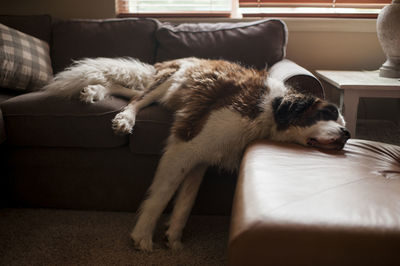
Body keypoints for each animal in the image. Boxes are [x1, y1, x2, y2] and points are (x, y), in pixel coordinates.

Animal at [43, 57, 350, 250]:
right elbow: (162, 195)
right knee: (137, 99)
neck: (269, 110)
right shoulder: (186, 145)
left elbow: (186, 200)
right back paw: (124, 118)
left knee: (125, 90)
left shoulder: (201, 158)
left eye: (342, 121)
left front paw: (173, 237)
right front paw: (143, 235)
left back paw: (96, 90)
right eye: (326, 114)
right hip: (171, 80)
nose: (347, 134)